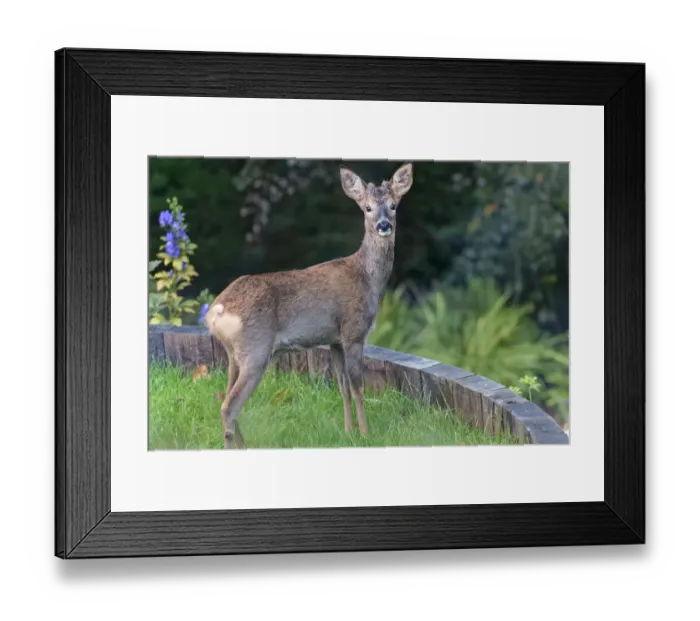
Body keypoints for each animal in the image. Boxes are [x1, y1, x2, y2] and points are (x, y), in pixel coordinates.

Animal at [205, 162, 414, 449]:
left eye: (394, 205)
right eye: (367, 207)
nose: (384, 225)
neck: (367, 277)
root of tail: (217, 310)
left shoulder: (334, 340)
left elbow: (343, 386)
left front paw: (348, 431)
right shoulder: (353, 331)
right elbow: (358, 386)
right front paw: (365, 434)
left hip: (233, 353)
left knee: (226, 398)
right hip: (255, 349)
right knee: (229, 405)